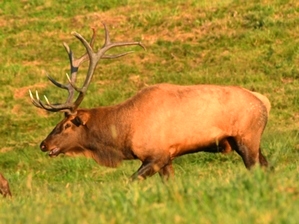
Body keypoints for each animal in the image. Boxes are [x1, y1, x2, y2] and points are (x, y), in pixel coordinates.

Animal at [29, 23, 270, 180]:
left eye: (66, 125)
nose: (43, 144)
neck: (123, 135)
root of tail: (265, 102)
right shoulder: (167, 157)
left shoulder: (155, 155)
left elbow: (132, 180)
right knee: (268, 165)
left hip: (247, 137)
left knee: (257, 167)